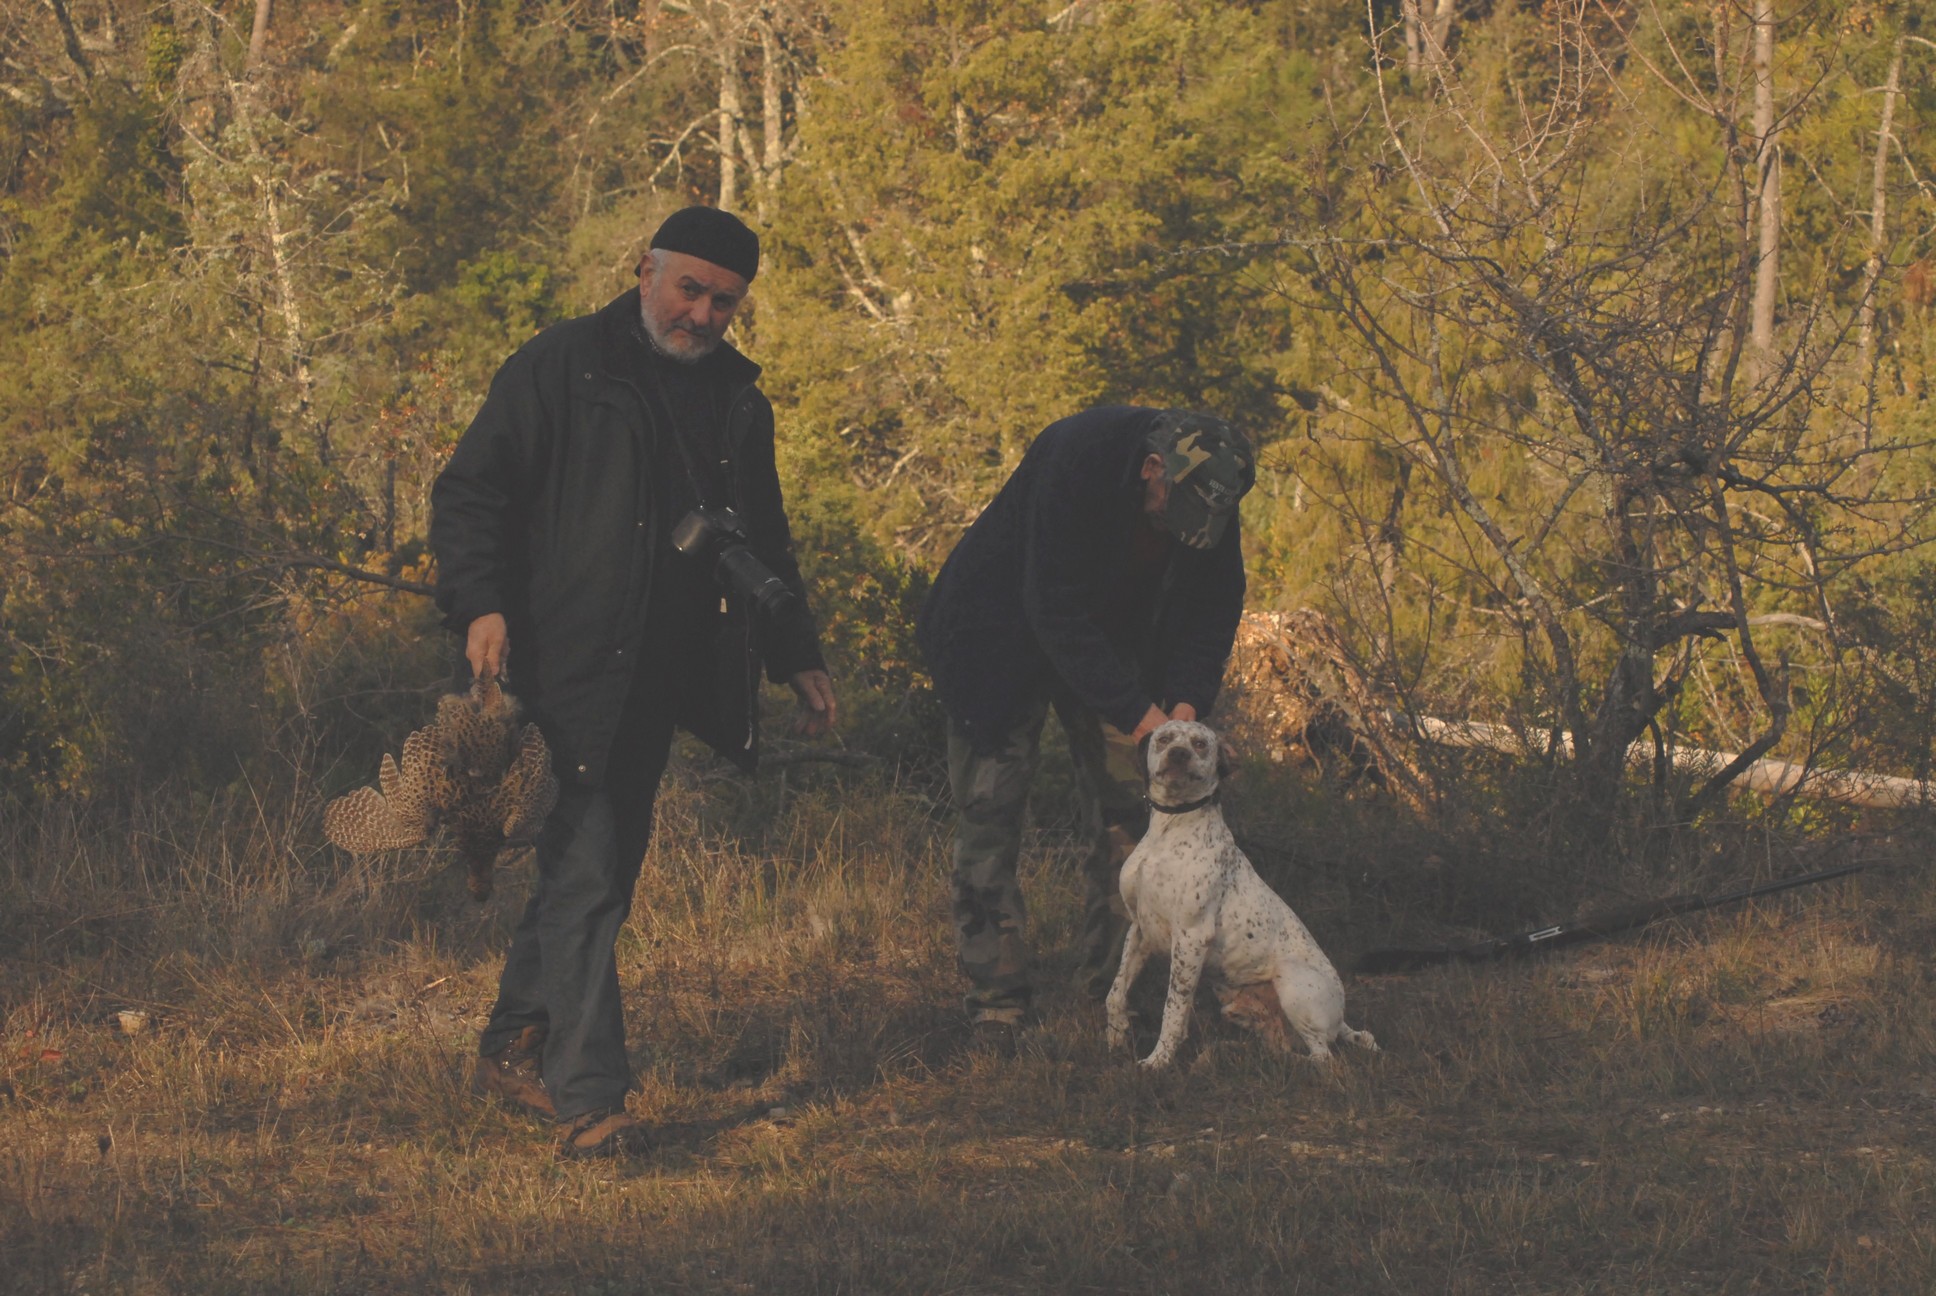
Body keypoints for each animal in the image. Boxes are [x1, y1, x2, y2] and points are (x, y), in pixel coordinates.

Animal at [1107, 724, 1378, 1069]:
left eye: (1200, 744)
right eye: (1164, 739)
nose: (1179, 754)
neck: (1168, 832)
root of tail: (1340, 1018)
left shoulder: (1191, 938)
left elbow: (1173, 1010)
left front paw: (1158, 1060)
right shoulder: (1139, 929)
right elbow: (1115, 993)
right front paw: (1115, 1037)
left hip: (1292, 986)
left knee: (1322, 1058)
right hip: (1240, 1010)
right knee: (1283, 1048)